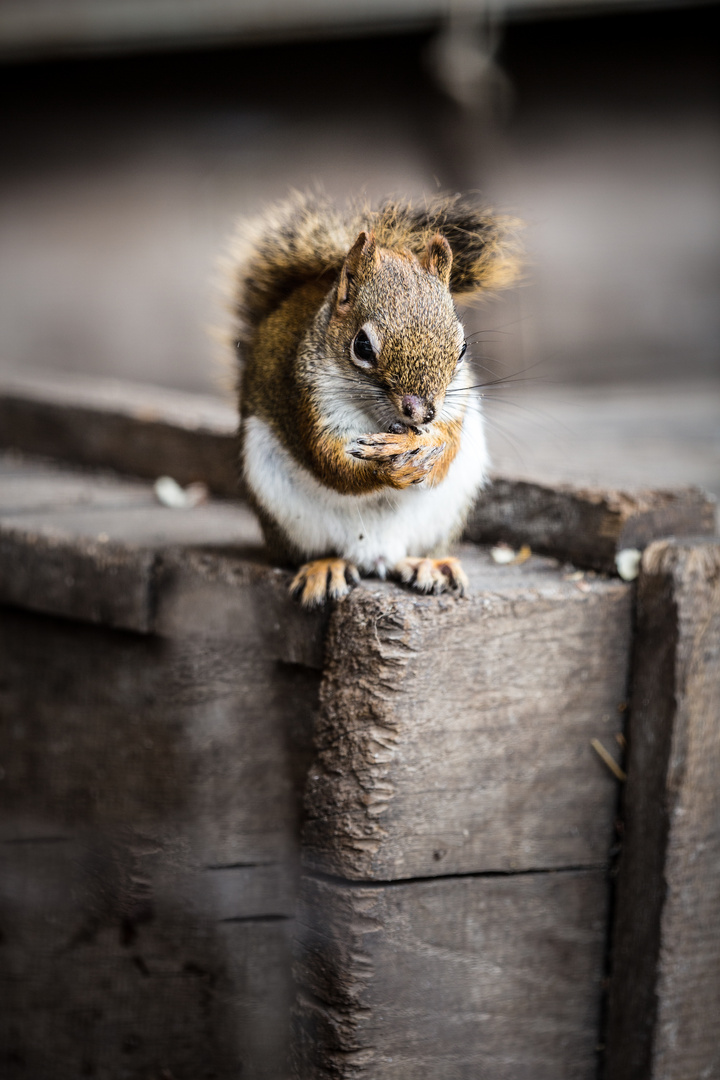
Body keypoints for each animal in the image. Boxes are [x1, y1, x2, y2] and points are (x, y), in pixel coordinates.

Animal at [225, 189, 518, 604]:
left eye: (462, 348)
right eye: (362, 346)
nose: (422, 412)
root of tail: (375, 554)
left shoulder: (454, 406)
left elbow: (446, 450)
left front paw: (421, 447)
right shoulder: (305, 397)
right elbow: (329, 462)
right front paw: (389, 468)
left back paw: (428, 565)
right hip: (280, 505)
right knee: (312, 551)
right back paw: (325, 567)